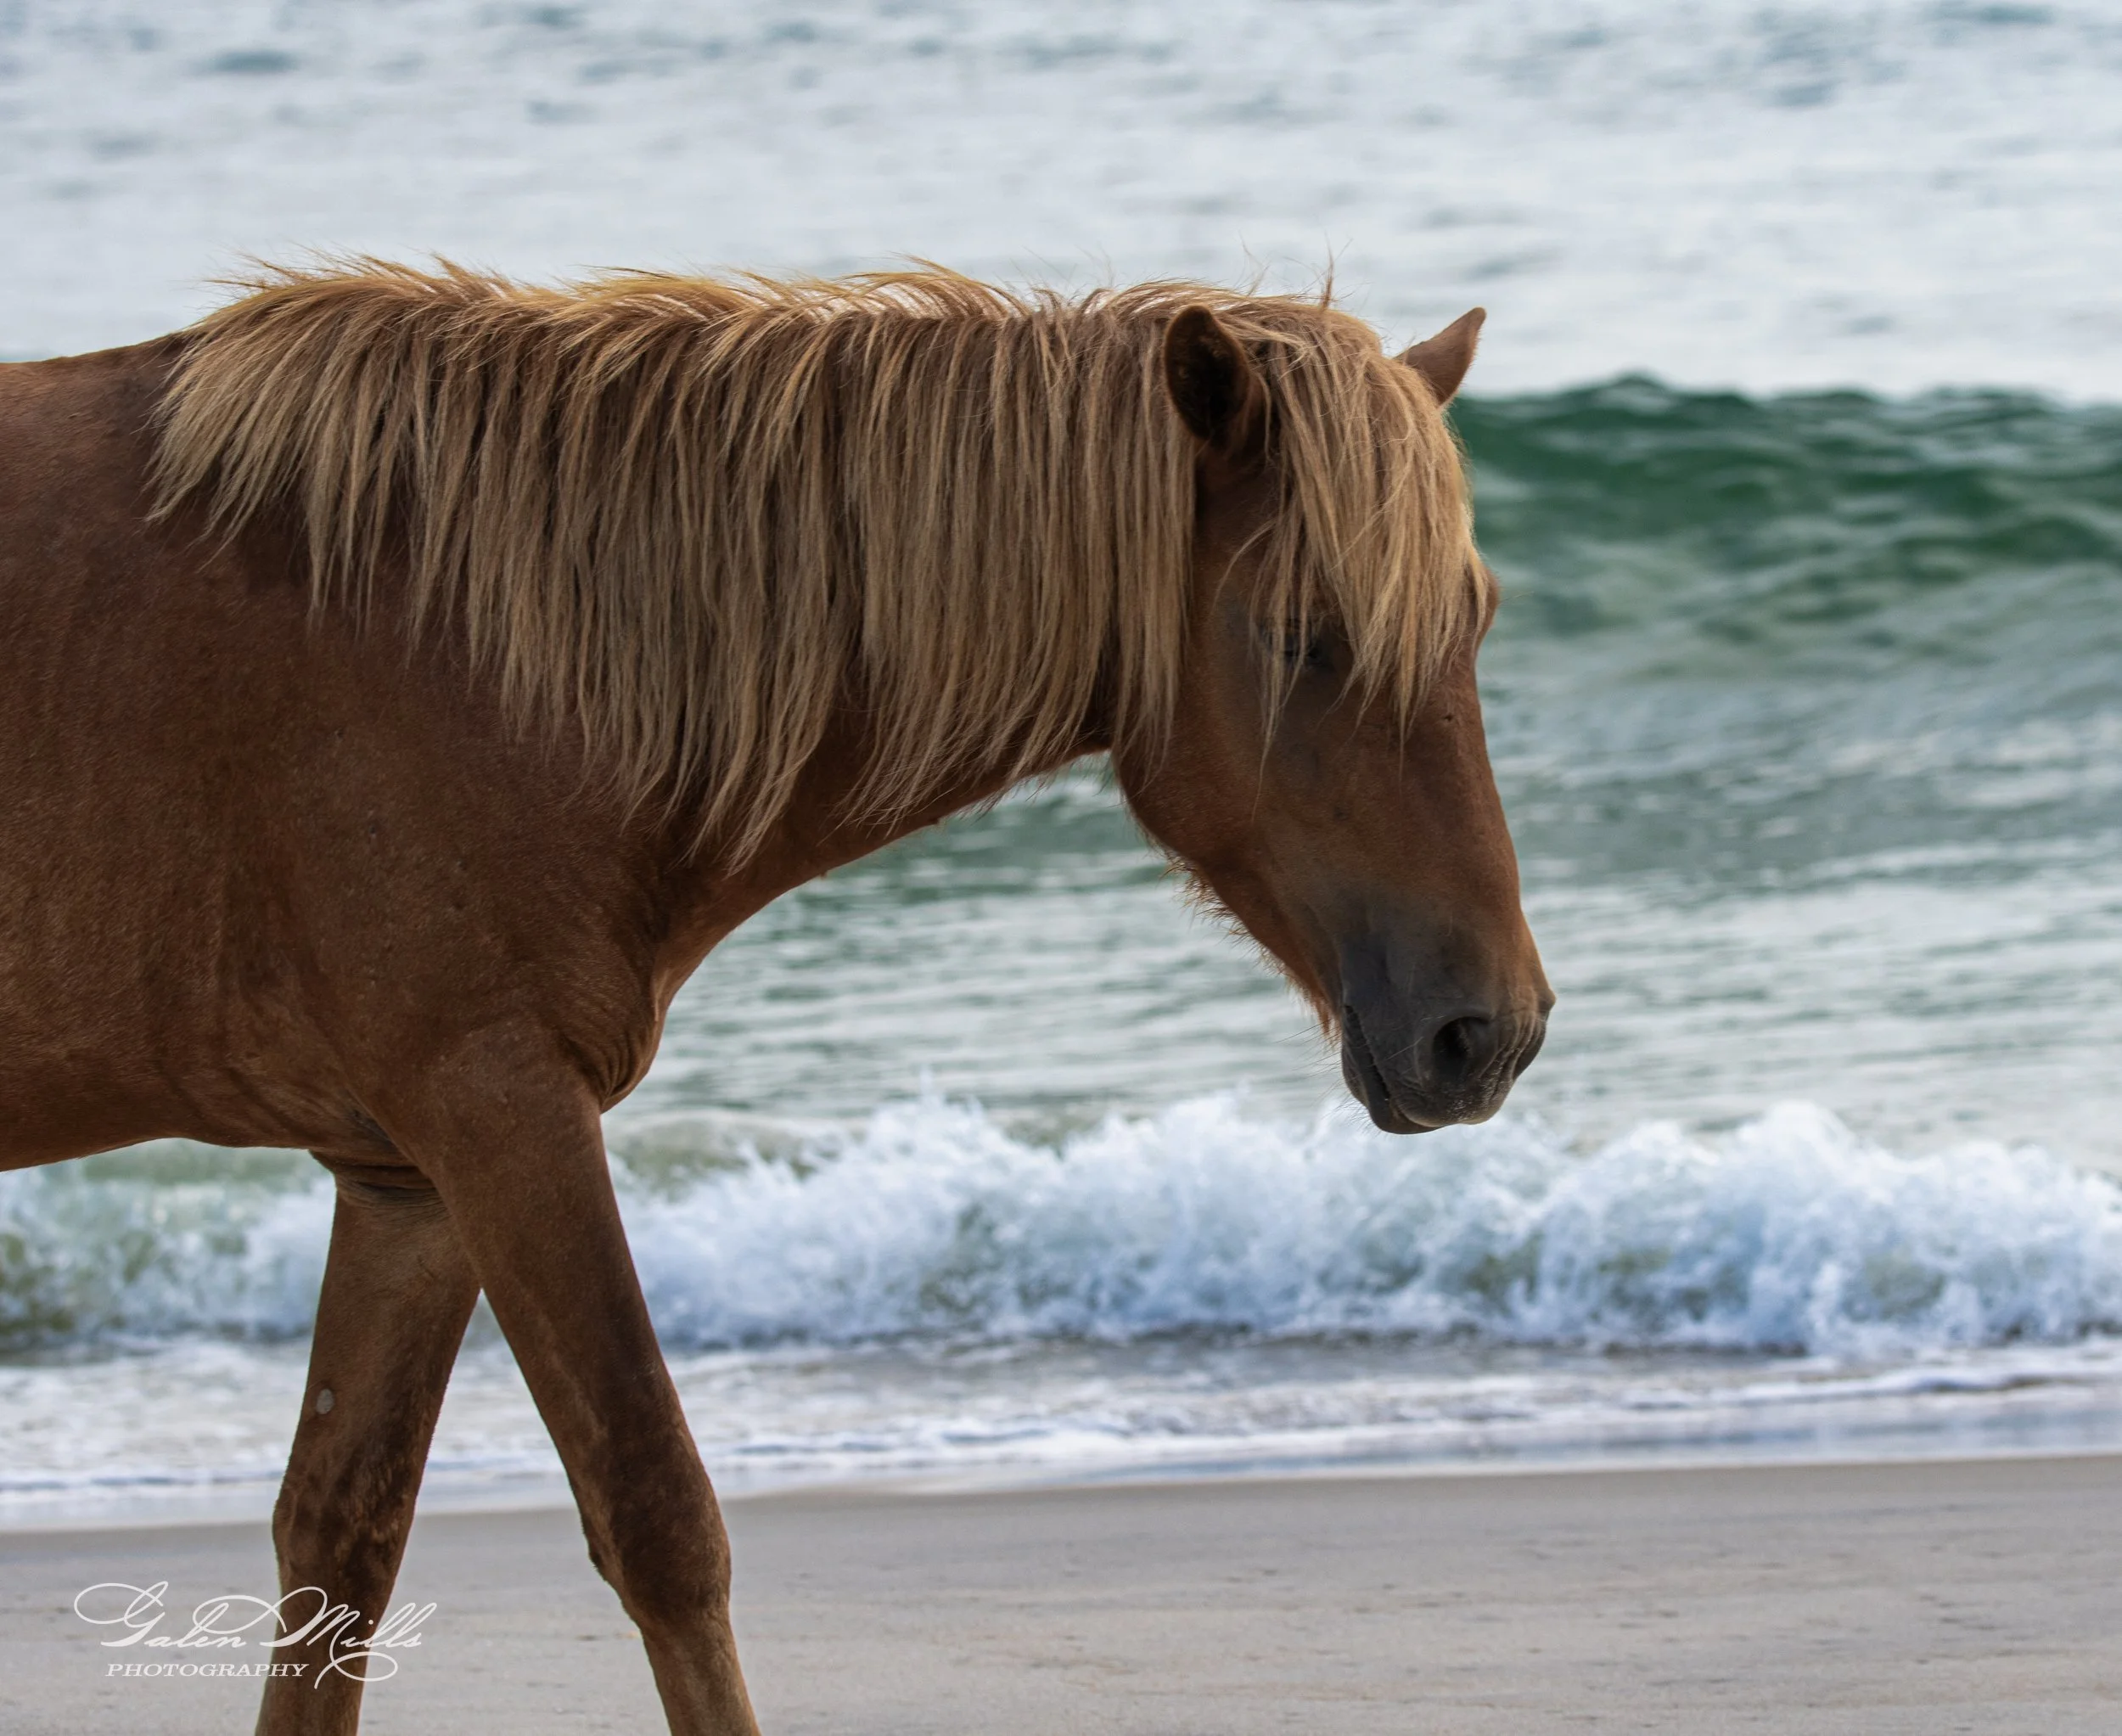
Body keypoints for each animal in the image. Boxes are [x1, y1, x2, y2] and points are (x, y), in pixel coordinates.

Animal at [0, 261, 1551, 1734]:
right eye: (1298, 633)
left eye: (1477, 619)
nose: (1490, 1031)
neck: (469, 643)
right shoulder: (500, 1113)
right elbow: (659, 1519)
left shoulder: (405, 1179)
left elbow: (342, 1542)